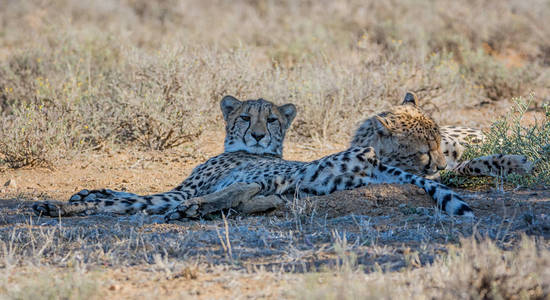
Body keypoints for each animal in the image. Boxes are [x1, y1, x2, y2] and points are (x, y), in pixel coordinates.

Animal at [33, 96, 474, 220]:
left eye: (272, 119)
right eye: (246, 117)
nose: (258, 134)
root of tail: (373, 163)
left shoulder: (175, 190)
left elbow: (127, 197)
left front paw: (75, 200)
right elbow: (118, 195)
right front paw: (78, 197)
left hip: (293, 174)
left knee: (239, 194)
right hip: (290, 183)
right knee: (262, 197)